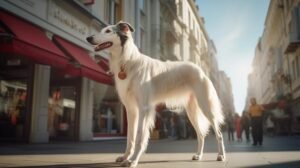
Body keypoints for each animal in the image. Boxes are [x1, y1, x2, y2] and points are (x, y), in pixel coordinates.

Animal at [86, 21, 225, 168]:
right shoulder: (131, 109)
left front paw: (133, 160)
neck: (128, 61)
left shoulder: (144, 108)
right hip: (192, 111)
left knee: (219, 134)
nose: (88, 38)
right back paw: (198, 156)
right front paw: (125, 157)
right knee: (201, 135)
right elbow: (130, 136)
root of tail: (200, 70)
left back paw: (221, 156)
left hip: (206, 107)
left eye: (108, 31)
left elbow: (139, 136)